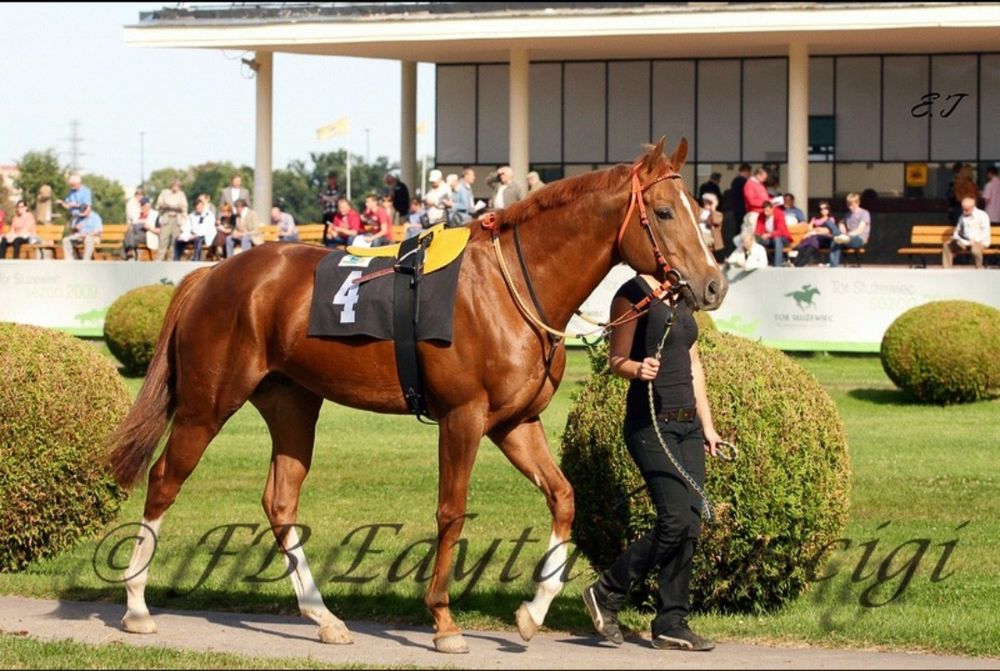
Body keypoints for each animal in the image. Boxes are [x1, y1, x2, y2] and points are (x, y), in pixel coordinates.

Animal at [107, 137, 727, 654]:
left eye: (699, 211)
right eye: (665, 212)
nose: (714, 283)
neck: (510, 285)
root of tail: (209, 275)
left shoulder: (515, 423)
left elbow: (564, 497)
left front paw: (533, 613)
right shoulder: (463, 416)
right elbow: (451, 511)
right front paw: (445, 622)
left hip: (291, 403)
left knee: (279, 501)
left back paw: (324, 617)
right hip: (207, 404)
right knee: (164, 480)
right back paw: (136, 606)